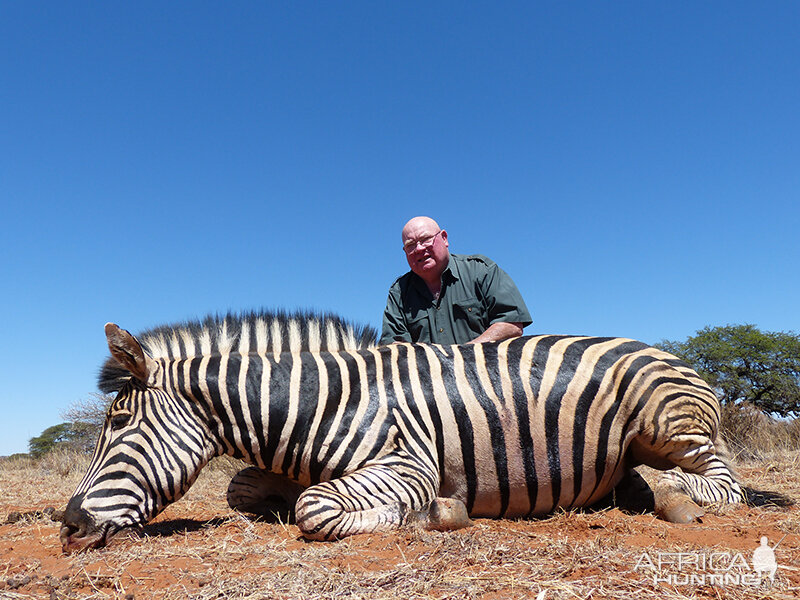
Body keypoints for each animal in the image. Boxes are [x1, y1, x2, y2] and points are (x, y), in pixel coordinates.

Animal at [61, 312, 744, 552]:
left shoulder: (407, 464)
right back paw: (632, 492)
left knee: (722, 481)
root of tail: (673, 354)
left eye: (118, 425)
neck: (324, 403)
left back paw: (671, 497)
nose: (67, 526)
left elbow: (313, 509)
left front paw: (440, 513)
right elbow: (246, 492)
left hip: (666, 424)